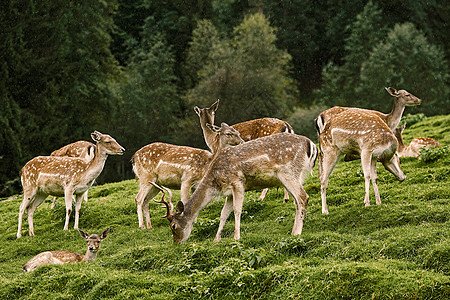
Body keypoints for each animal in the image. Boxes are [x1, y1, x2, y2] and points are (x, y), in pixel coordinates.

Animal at [153, 133, 318, 244]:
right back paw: (293, 231)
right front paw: (216, 239)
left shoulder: (237, 182)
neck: (215, 180)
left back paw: (297, 233)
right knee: (297, 201)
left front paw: (236, 236)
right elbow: (223, 214)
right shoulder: (228, 193)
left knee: (303, 197)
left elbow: (237, 210)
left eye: (173, 226)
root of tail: (311, 144)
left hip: (288, 172)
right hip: (296, 175)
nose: (177, 242)